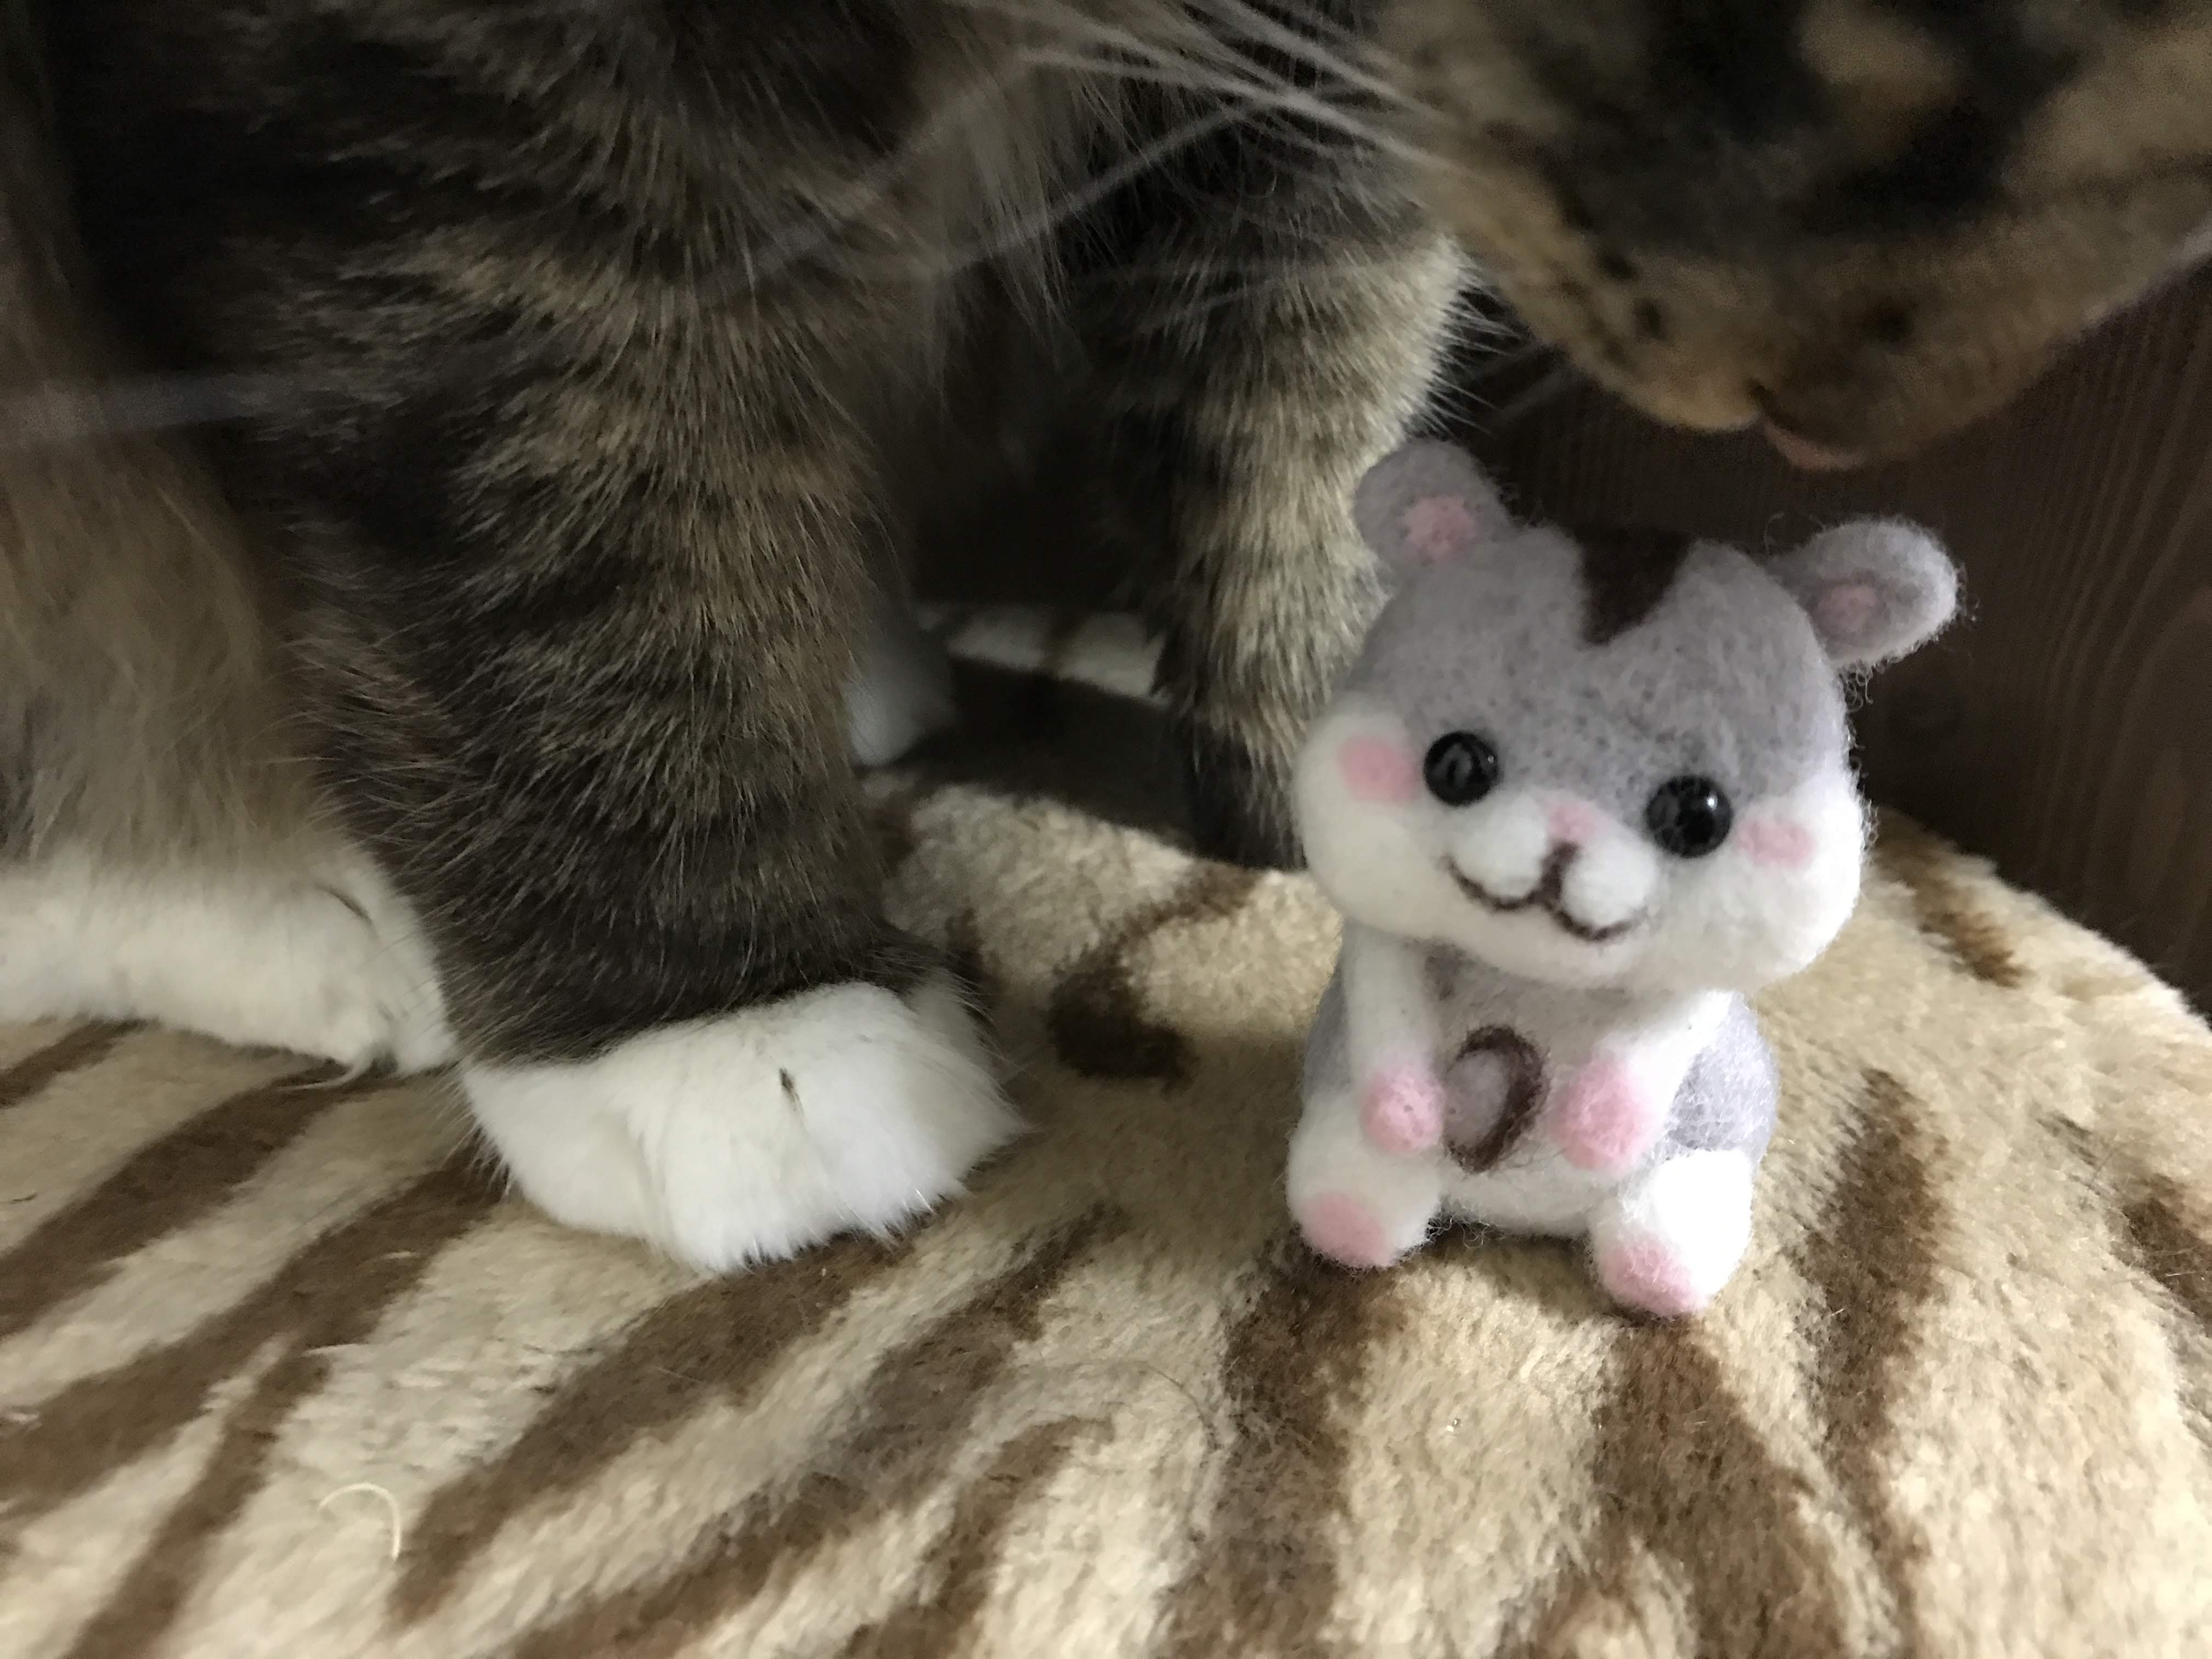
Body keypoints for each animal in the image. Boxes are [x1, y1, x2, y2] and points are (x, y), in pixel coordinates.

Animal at [2, 1, 2207, 1270]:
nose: (1818, 412)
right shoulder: (431, 97)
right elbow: (567, 457)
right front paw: (716, 1005)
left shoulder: (1335, 97)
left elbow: (1319, 367)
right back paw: (323, 922)